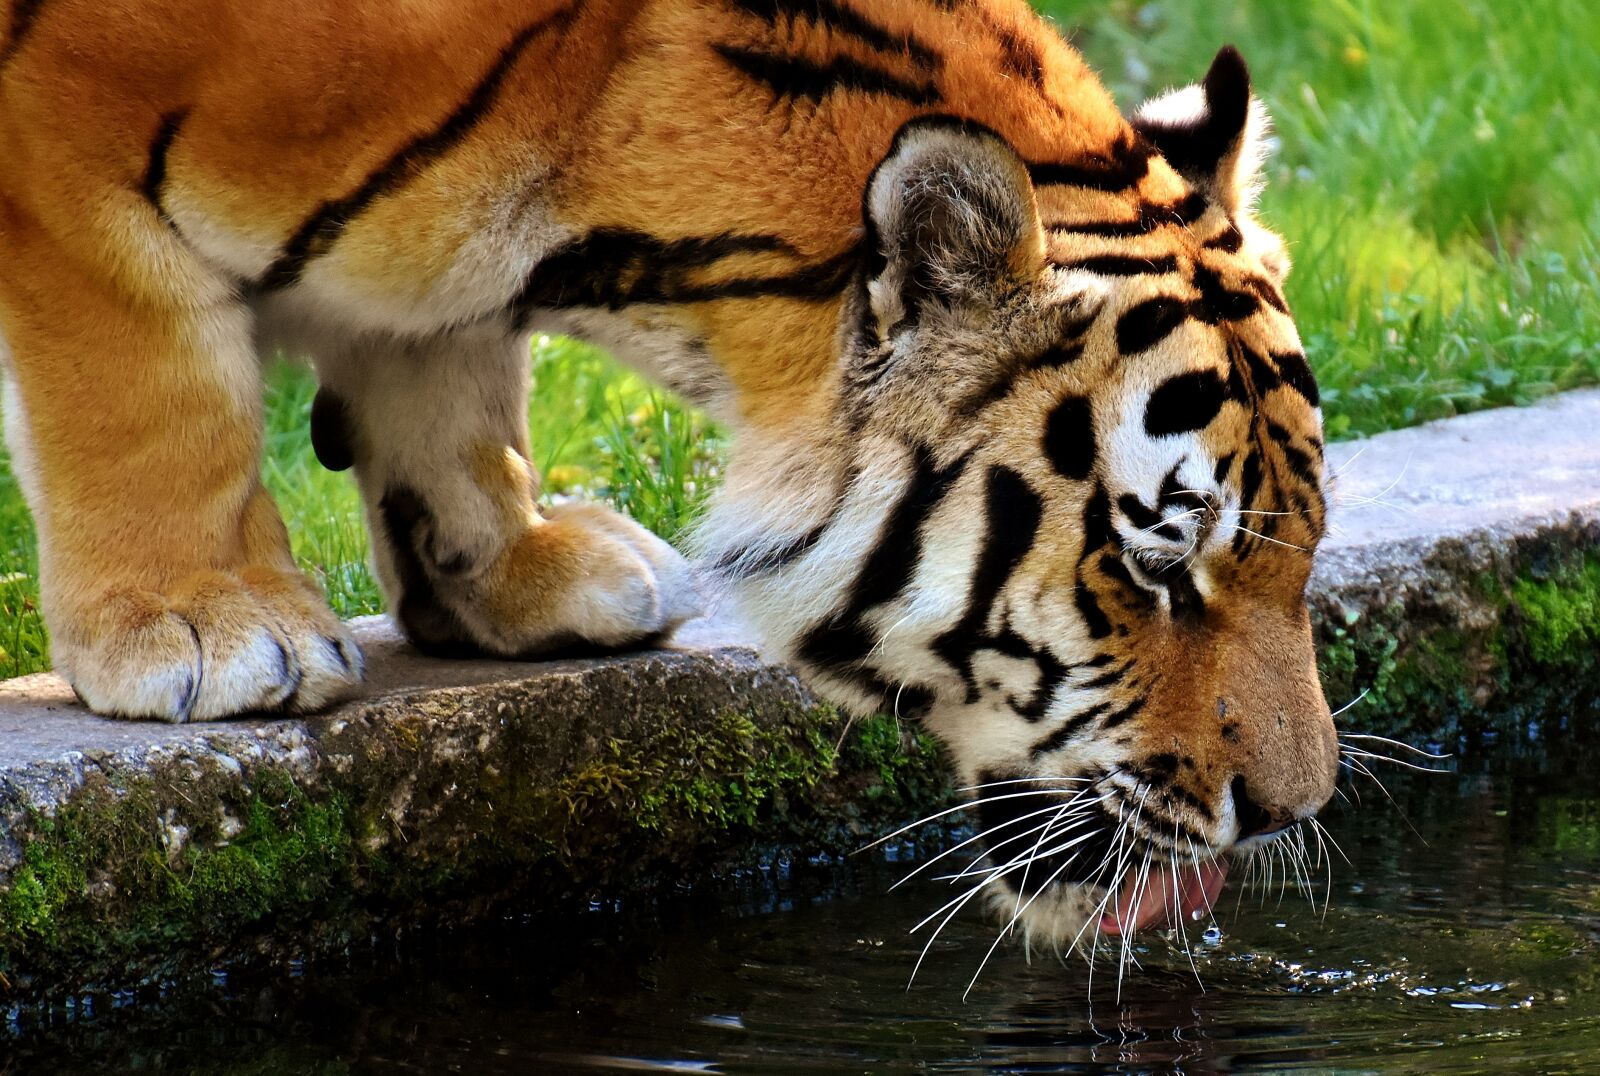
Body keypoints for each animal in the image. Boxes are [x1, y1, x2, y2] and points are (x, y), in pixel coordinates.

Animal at [0, 0, 1337, 947]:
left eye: (1306, 549)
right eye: (1152, 563)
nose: (1293, 813)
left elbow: (445, 361)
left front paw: (511, 569)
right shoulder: (67, 140)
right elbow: (153, 388)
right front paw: (206, 624)